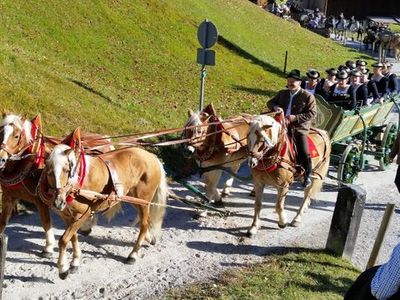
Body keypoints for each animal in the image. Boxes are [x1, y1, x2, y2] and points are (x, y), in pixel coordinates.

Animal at [0, 112, 114, 255]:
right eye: (0, 132)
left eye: (16, 136)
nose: (1, 158)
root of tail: (106, 140)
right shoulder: (8, 197)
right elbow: (3, 223)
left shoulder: (41, 201)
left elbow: (46, 223)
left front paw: (48, 247)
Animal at [38, 127, 167, 278]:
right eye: (49, 172)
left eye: (66, 170)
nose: (59, 202)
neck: (77, 182)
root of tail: (152, 157)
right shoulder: (67, 216)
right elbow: (73, 237)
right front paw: (75, 261)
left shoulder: (83, 214)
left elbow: (64, 240)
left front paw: (63, 268)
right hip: (133, 198)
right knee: (144, 220)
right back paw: (149, 238)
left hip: (143, 200)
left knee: (144, 224)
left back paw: (133, 254)